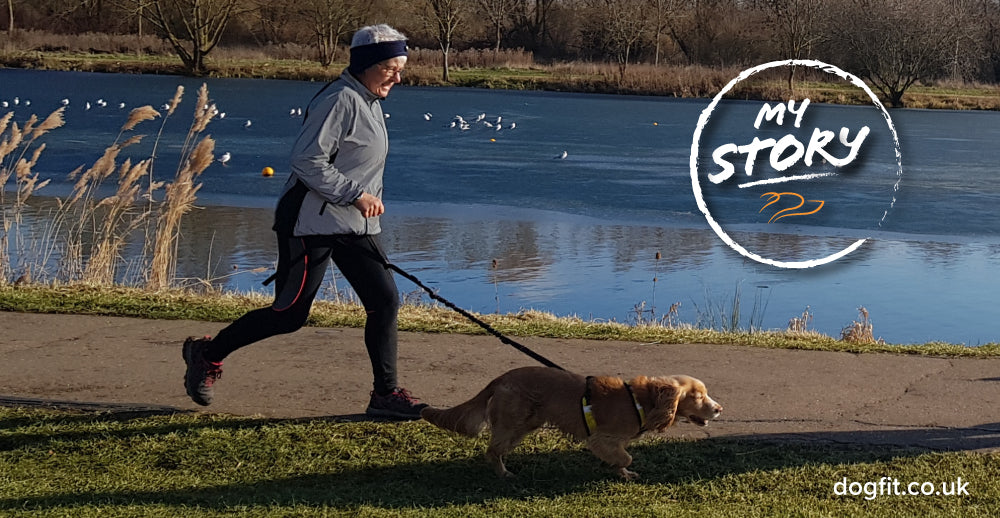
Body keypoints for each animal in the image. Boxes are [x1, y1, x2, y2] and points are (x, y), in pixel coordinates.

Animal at [418, 368, 724, 482]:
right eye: (698, 396)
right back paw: (504, 473)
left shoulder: (616, 440)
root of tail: (502, 378)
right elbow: (625, 455)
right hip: (513, 423)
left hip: (525, 424)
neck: (643, 401)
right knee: (492, 451)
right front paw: (622, 469)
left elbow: (622, 459)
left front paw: (622, 473)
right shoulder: (602, 438)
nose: (719, 409)